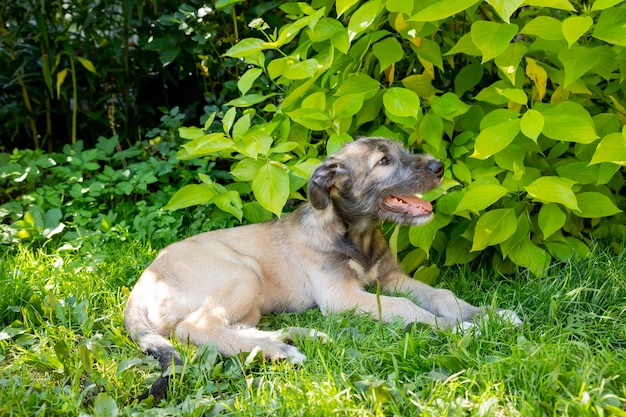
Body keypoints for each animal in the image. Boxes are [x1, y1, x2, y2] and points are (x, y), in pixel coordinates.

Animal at [124, 137, 520, 400]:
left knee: (227, 328)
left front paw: (488, 314)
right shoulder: (341, 295)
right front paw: (459, 328)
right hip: (242, 274)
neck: (356, 237)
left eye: (404, 150)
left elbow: (441, 294)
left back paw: (297, 338)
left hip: (250, 302)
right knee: (195, 328)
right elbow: (406, 308)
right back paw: (283, 350)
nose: (439, 167)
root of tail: (142, 283)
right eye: (384, 161)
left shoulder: (391, 277)